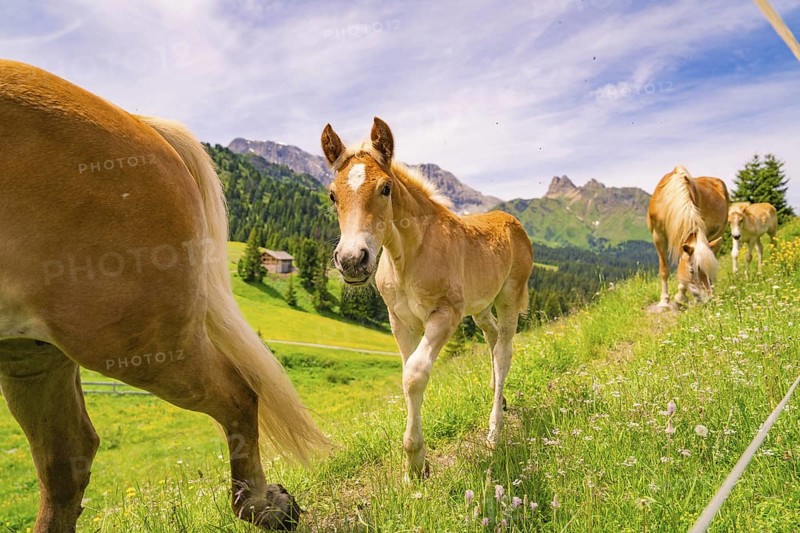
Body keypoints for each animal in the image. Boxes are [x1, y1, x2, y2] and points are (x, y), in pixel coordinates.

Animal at [0, 60, 328, 532]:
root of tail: (143, 124)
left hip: (134, 341)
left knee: (238, 392)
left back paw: (262, 504)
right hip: (30, 352)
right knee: (65, 462)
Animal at [320, 117, 533, 479]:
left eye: (386, 188)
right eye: (333, 195)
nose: (352, 260)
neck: (409, 255)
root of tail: (513, 221)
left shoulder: (445, 315)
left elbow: (415, 375)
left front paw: (416, 463)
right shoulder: (400, 321)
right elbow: (407, 374)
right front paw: (417, 461)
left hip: (509, 295)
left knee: (504, 350)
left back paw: (494, 432)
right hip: (479, 305)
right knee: (491, 338)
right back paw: (498, 397)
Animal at [647, 166, 728, 308]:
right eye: (692, 270)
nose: (709, 299)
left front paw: (680, 297)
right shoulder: (658, 236)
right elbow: (664, 270)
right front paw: (664, 302)